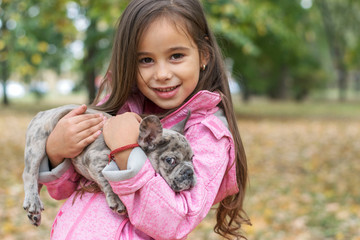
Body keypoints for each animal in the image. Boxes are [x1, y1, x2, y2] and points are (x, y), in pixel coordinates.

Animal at [21, 104, 197, 226]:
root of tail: (43, 112)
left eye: (192, 158)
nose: (190, 172)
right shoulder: (95, 159)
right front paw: (117, 199)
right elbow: (107, 181)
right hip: (37, 143)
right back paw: (33, 201)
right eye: (170, 160)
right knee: (30, 174)